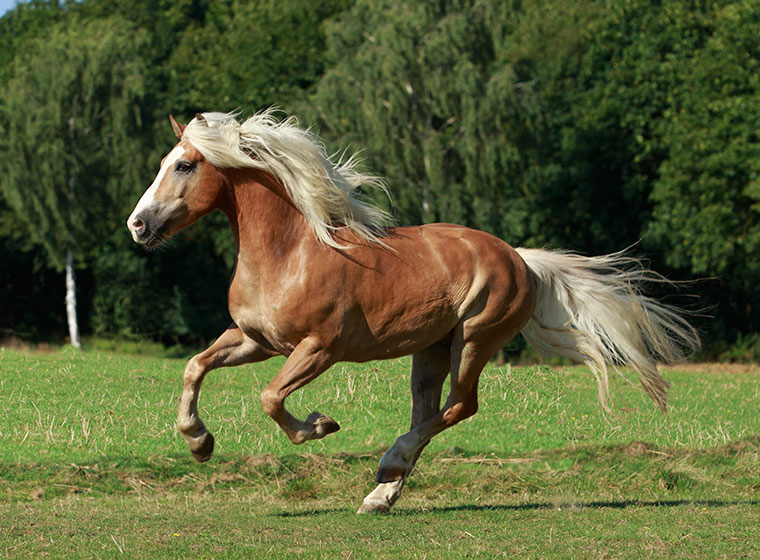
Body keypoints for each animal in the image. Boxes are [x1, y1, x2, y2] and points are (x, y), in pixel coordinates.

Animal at [126, 111, 700, 516]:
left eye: (183, 165)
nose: (137, 225)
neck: (290, 254)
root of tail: (520, 259)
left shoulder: (319, 349)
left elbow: (270, 398)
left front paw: (321, 425)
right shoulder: (254, 339)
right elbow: (194, 367)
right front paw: (199, 443)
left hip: (473, 339)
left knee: (459, 407)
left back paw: (388, 465)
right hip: (429, 351)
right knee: (428, 413)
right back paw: (381, 495)